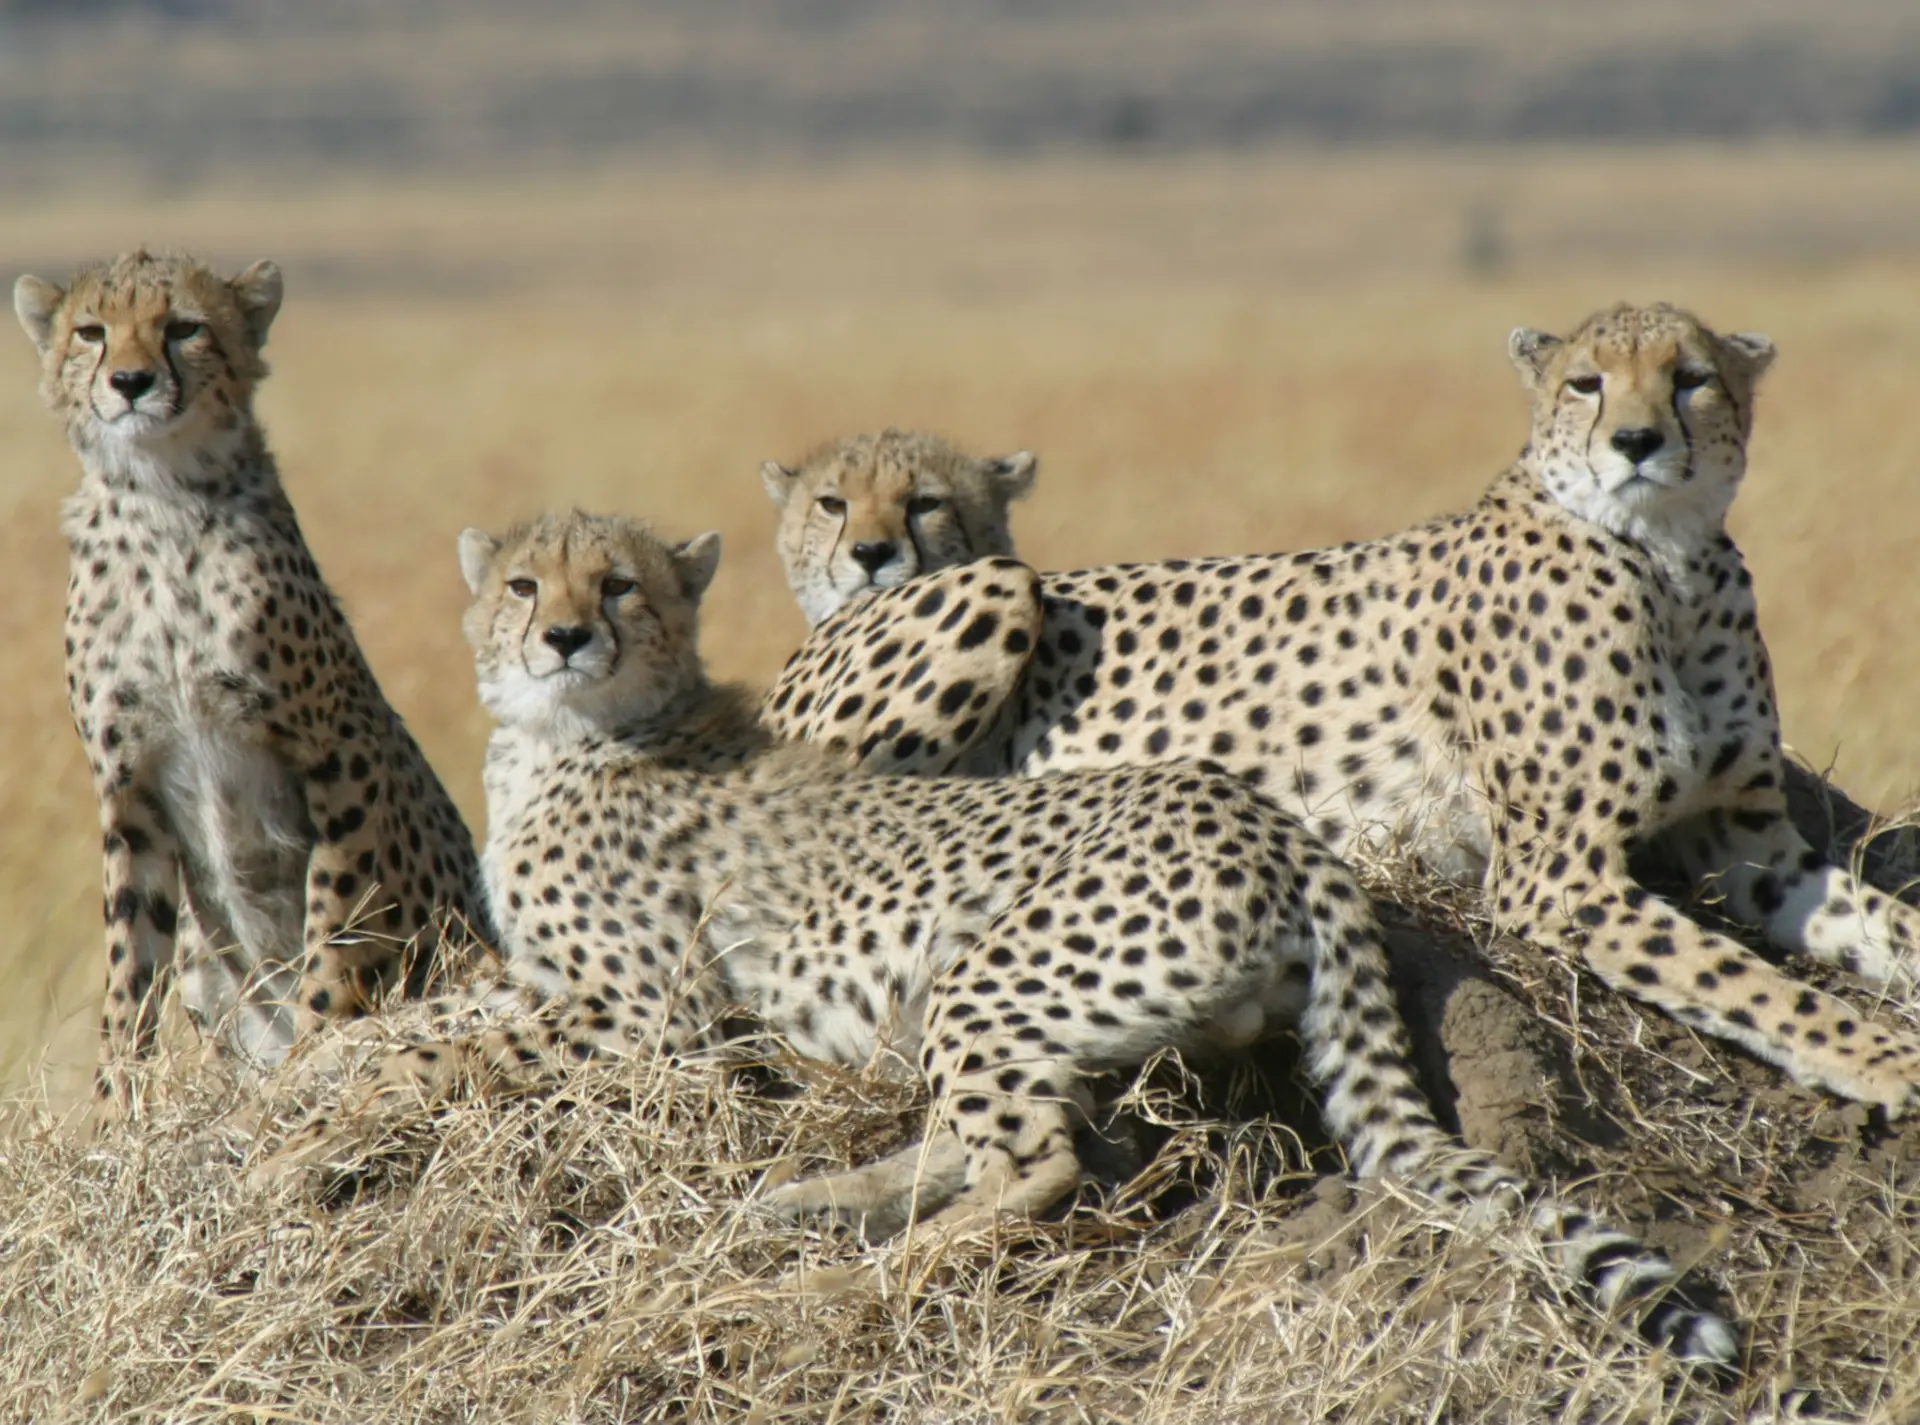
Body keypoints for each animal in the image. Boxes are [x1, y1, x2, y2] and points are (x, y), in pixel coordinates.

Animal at [13, 249, 485, 1109]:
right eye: (91, 332)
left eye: (183, 328)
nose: (129, 381)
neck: (161, 500)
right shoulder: (127, 783)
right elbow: (129, 962)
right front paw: (113, 1108)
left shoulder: (339, 749)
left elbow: (334, 919)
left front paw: (317, 1046)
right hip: (205, 962)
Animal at [258, 507, 1738, 1367]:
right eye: (521, 584)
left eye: (617, 587)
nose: (563, 636)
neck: (572, 737)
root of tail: (1279, 825)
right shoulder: (553, 981)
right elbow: (431, 1017)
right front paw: (305, 1076)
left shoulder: (649, 1013)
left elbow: (457, 1052)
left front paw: (334, 1109)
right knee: (983, 1142)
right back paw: (806, 1206)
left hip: (988, 966)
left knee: (1038, 1166)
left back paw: (862, 1272)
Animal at [761, 306, 1920, 1117]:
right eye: (1587, 385)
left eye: (1691, 379)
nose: (1635, 441)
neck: (1670, 563)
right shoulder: (1557, 877)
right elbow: (1743, 980)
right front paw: (1878, 1057)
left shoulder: (1753, 848)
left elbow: (1881, 924)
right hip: (997, 589)